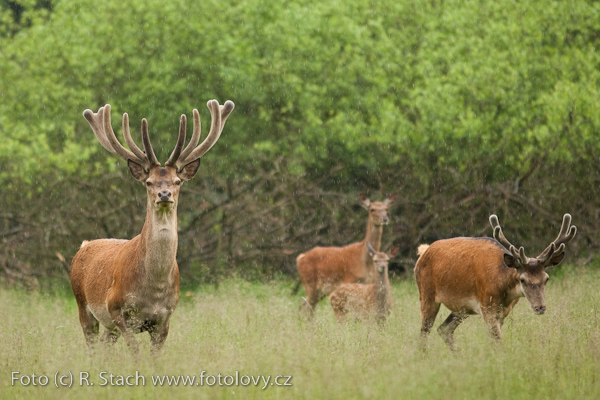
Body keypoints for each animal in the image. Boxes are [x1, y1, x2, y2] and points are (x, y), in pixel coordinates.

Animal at [70, 100, 234, 354]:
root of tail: (84, 246)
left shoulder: (165, 317)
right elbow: (136, 352)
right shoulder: (116, 308)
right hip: (83, 305)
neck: (153, 290)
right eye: (149, 182)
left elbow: (154, 356)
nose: (164, 194)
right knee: (91, 346)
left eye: (177, 181)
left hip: (107, 325)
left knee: (104, 348)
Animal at [414, 214, 576, 348]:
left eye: (546, 278)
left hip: (462, 308)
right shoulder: (487, 307)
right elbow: (498, 341)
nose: (540, 307)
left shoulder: (503, 312)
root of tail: (423, 252)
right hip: (427, 294)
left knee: (444, 329)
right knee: (424, 333)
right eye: (522, 279)